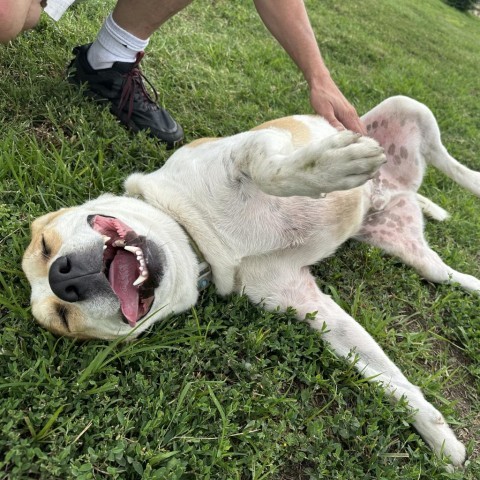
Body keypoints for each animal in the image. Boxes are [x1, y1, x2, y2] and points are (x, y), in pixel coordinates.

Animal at [20, 95, 478, 466]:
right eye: (63, 319)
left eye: (45, 246)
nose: (64, 279)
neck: (200, 239)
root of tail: (394, 190)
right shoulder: (312, 308)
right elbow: (387, 378)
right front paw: (439, 437)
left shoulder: (247, 149)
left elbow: (275, 172)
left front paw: (329, 166)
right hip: (404, 243)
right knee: (441, 271)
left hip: (410, 109)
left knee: (451, 165)